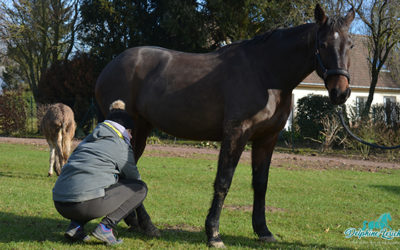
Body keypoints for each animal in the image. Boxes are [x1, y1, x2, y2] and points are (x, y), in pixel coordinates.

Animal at [96, 4, 354, 248]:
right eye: (323, 44)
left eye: (350, 45)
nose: (340, 92)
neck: (265, 73)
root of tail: (110, 66)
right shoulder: (236, 134)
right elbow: (223, 181)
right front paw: (213, 234)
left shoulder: (267, 138)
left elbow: (261, 184)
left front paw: (263, 231)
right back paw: (143, 223)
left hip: (141, 130)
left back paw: (142, 224)